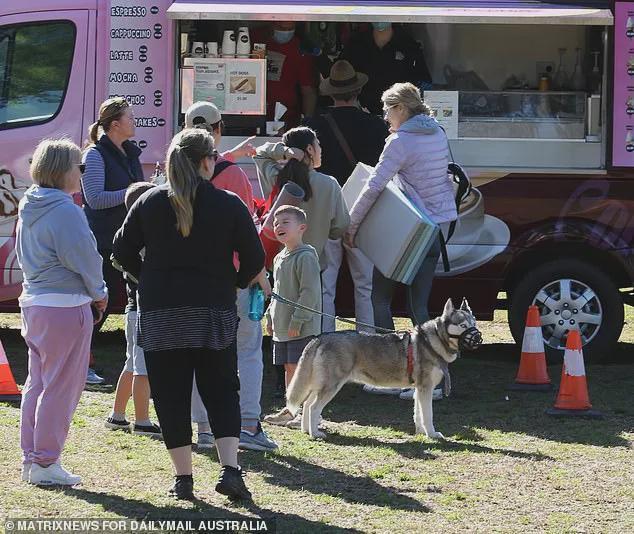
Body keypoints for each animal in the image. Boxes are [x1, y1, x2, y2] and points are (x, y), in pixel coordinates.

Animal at [286, 300, 478, 442]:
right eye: (462, 325)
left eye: (474, 323)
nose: (478, 337)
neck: (432, 342)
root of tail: (320, 337)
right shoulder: (426, 388)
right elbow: (427, 415)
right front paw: (432, 434)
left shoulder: (419, 389)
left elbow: (418, 414)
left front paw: (421, 433)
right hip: (331, 386)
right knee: (314, 407)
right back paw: (315, 434)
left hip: (319, 385)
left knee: (307, 404)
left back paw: (306, 430)